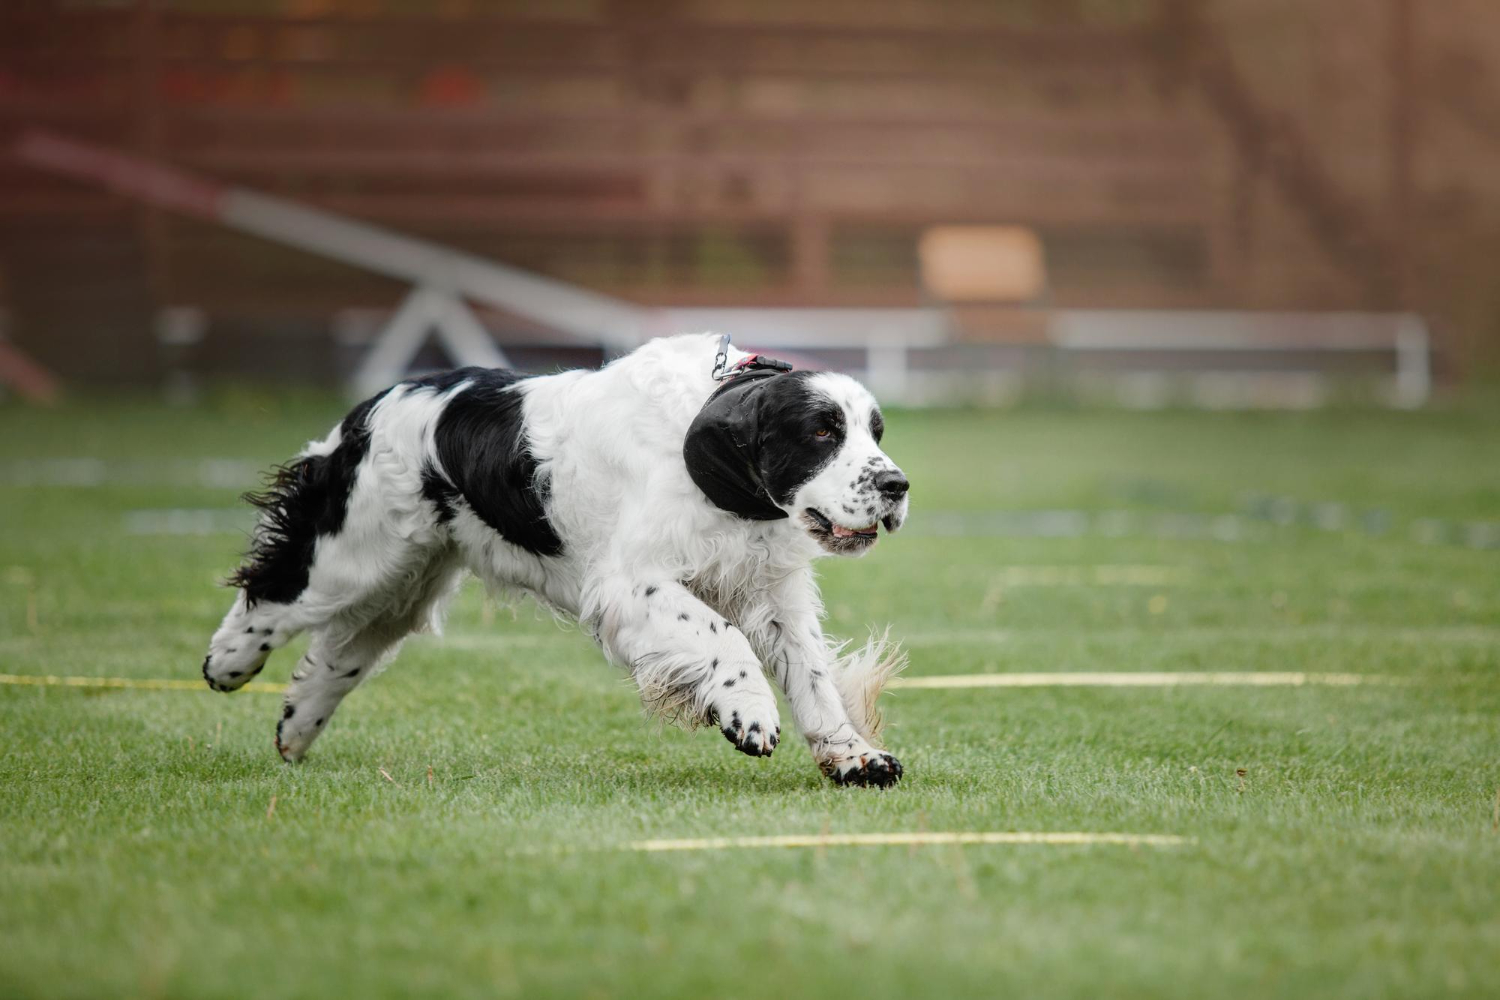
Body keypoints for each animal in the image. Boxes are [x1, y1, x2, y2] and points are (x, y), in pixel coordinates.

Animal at [204, 332, 906, 785]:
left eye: (874, 432)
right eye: (821, 431)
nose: (897, 485)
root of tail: (373, 406)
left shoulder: (771, 590)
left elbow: (811, 675)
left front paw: (854, 756)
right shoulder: (632, 585)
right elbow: (722, 636)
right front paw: (749, 714)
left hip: (401, 585)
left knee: (338, 654)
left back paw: (294, 731)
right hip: (354, 556)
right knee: (274, 590)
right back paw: (226, 666)